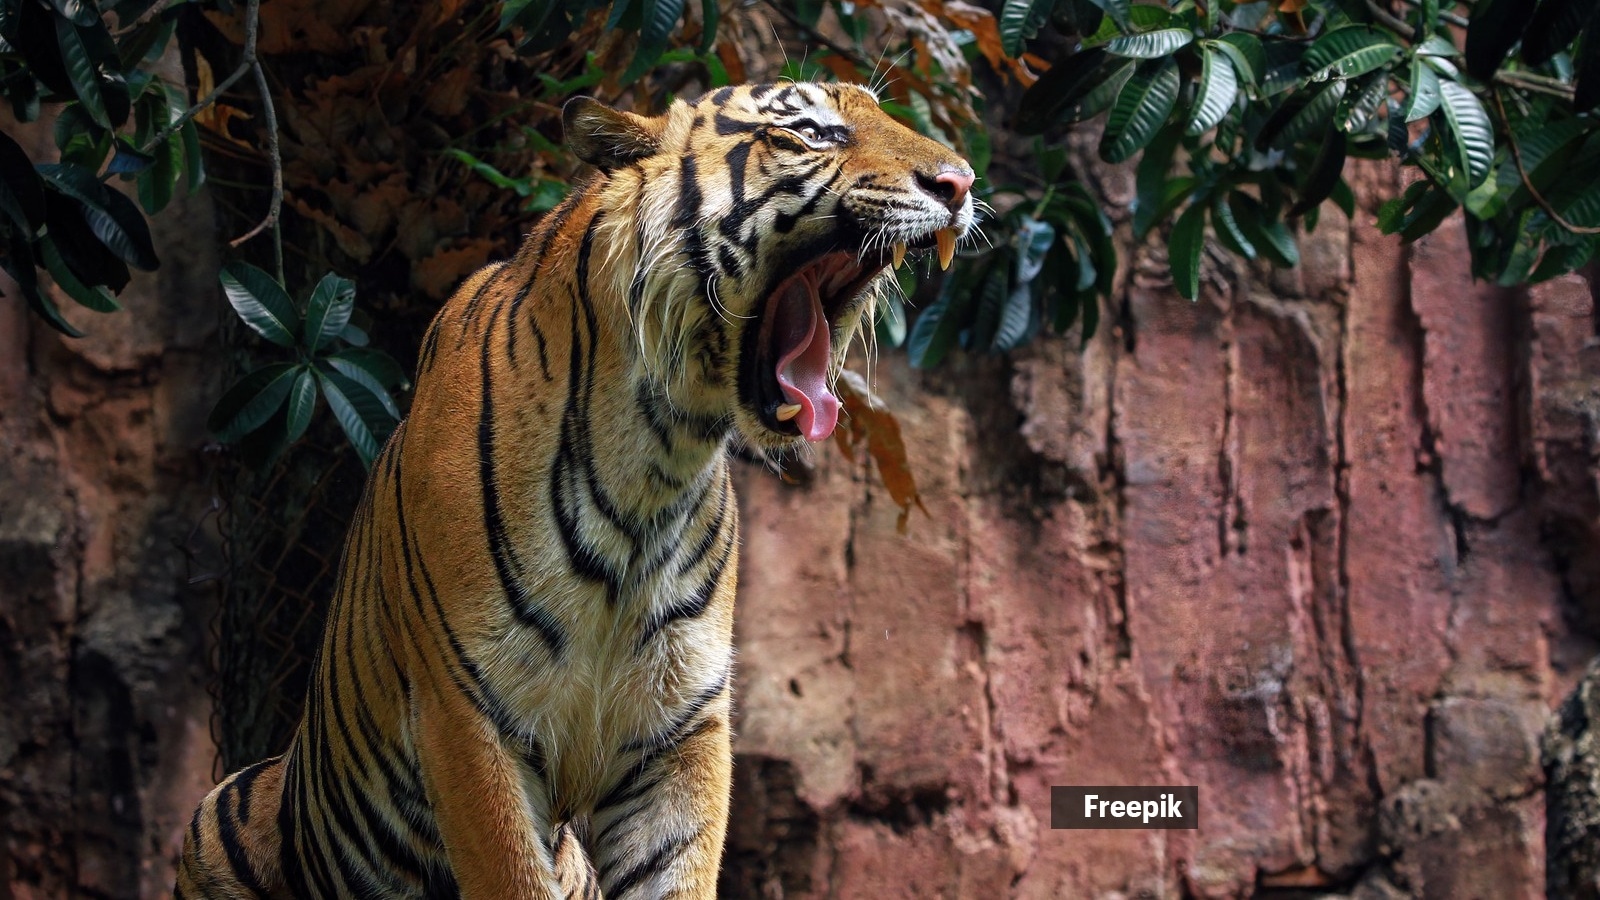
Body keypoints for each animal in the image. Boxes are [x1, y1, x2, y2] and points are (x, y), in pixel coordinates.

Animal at [175, 81, 975, 899]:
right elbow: (508, 870)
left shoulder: (682, 727)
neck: (660, 456)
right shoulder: (468, 716)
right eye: (813, 131)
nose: (961, 182)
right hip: (216, 816)